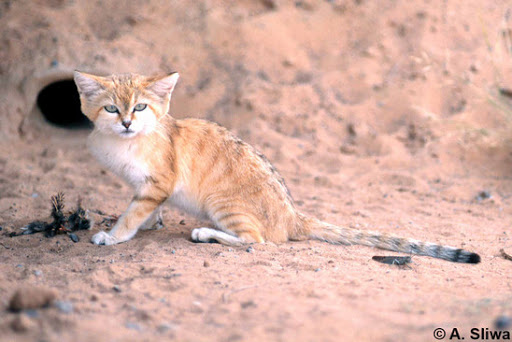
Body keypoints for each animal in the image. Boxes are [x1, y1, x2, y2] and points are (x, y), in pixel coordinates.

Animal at [72, 71, 480, 264]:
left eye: (140, 107)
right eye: (112, 109)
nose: (127, 122)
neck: (125, 143)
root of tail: (293, 216)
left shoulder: (157, 184)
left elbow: (132, 214)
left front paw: (114, 236)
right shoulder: (149, 189)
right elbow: (146, 209)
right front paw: (150, 223)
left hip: (223, 204)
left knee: (258, 241)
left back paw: (205, 234)